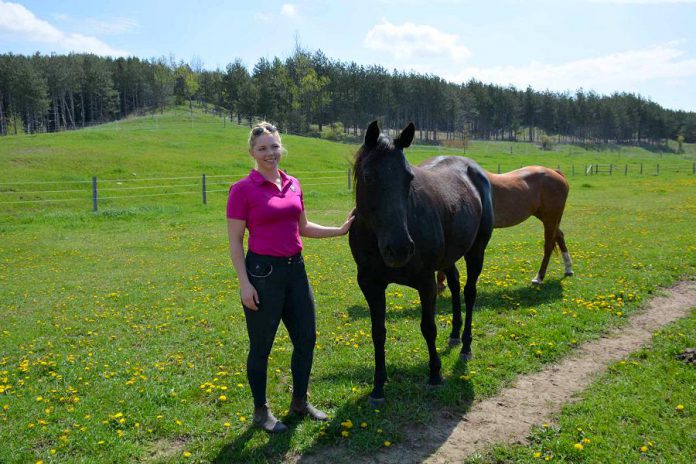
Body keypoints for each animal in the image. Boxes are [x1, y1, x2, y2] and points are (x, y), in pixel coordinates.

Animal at [348, 120, 494, 406]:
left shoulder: (425, 282)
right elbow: (378, 332)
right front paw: (378, 387)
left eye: (409, 178)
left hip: (476, 251)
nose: (399, 248)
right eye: (369, 176)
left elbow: (428, 327)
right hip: (449, 257)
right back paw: (455, 335)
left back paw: (466, 345)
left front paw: (435, 374)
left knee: (469, 293)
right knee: (455, 284)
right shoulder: (370, 284)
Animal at [438, 165, 572, 292]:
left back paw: (539, 278)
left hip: (550, 217)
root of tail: (555, 173)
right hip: (547, 217)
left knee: (549, 245)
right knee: (559, 236)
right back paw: (568, 268)